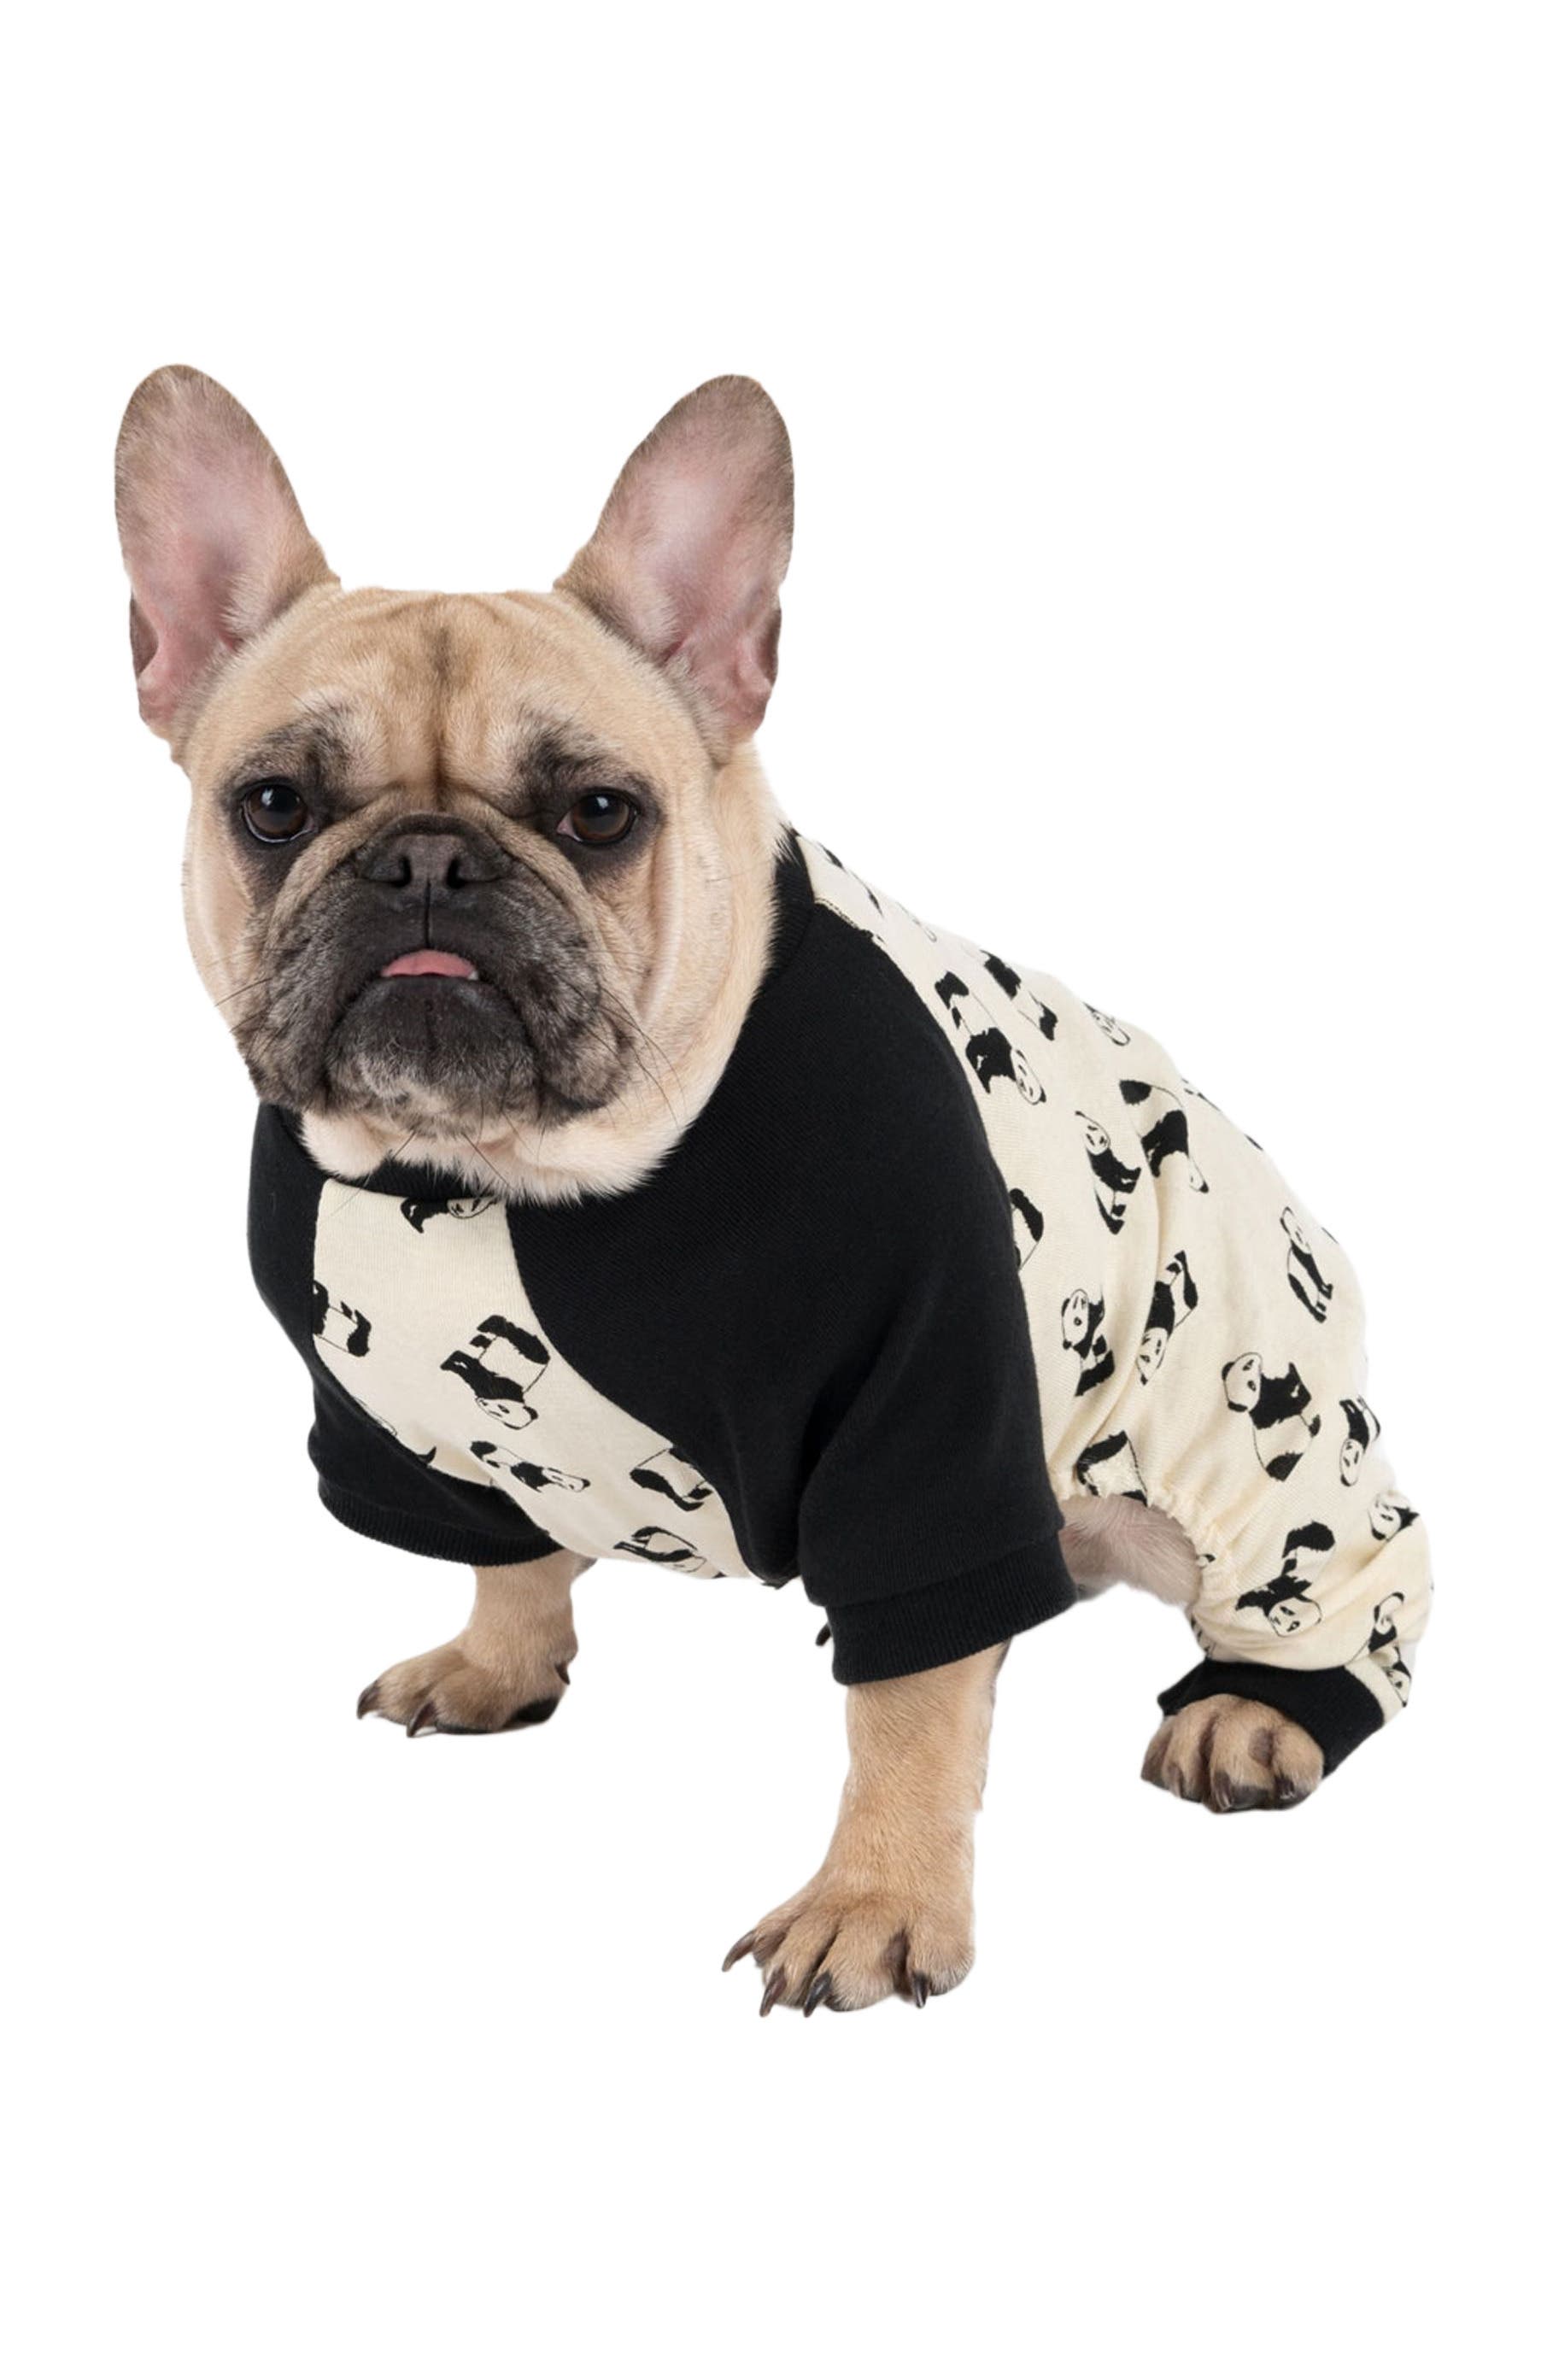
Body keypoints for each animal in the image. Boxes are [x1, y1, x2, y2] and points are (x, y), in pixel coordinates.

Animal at [440, 1314, 550, 1431]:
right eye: (503, 1409)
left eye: (501, 1414)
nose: (485, 1405)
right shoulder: (494, 1382)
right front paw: (450, 1364)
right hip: (516, 1342)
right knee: (506, 1328)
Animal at [934, 972, 1045, 1103]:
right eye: (1022, 1069)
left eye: (1030, 1090)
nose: (1022, 1083)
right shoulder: (995, 1042)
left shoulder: (995, 1064)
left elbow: (983, 1068)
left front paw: (985, 1085)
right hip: (958, 988)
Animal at [1075, 1113, 1142, 1234]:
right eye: (1090, 1138)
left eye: (1092, 1127)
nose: (1102, 1140)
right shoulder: (1100, 1167)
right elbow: (1113, 1179)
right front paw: (1129, 1186)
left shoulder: (1108, 1158)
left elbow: (1121, 1168)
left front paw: (1135, 1172)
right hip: (1101, 1204)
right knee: (1107, 1217)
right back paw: (1117, 1224)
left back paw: (1120, 1209)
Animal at [1221, 1352, 1322, 1480]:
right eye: (1252, 1385)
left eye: (1247, 1366)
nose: (1256, 1362)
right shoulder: (1268, 1405)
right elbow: (1292, 1401)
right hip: (1285, 1455)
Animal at [1281, 1206, 1335, 1323]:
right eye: (1295, 1233)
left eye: (1299, 1229)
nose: (1299, 1237)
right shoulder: (1304, 1261)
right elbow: (1315, 1276)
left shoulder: (1310, 1260)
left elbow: (1318, 1277)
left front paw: (1326, 1289)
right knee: (1309, 1303)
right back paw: (1319, 1316)